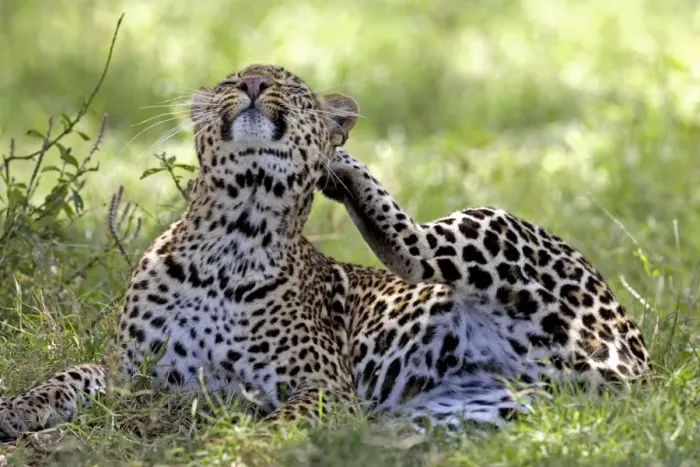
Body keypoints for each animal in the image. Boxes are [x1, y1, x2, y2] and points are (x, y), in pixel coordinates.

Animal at [0, 64, 650, 441]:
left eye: (289, 84)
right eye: (232, 79)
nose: (253, 87)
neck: (230, 241)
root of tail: (643, 372)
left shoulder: (321, 388)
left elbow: (281, 423)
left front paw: (241, 446)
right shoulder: (131, 375)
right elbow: (65, 378)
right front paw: (16, 412)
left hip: (494, 226)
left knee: (413, 250)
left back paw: (342, 168)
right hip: (468, 413)